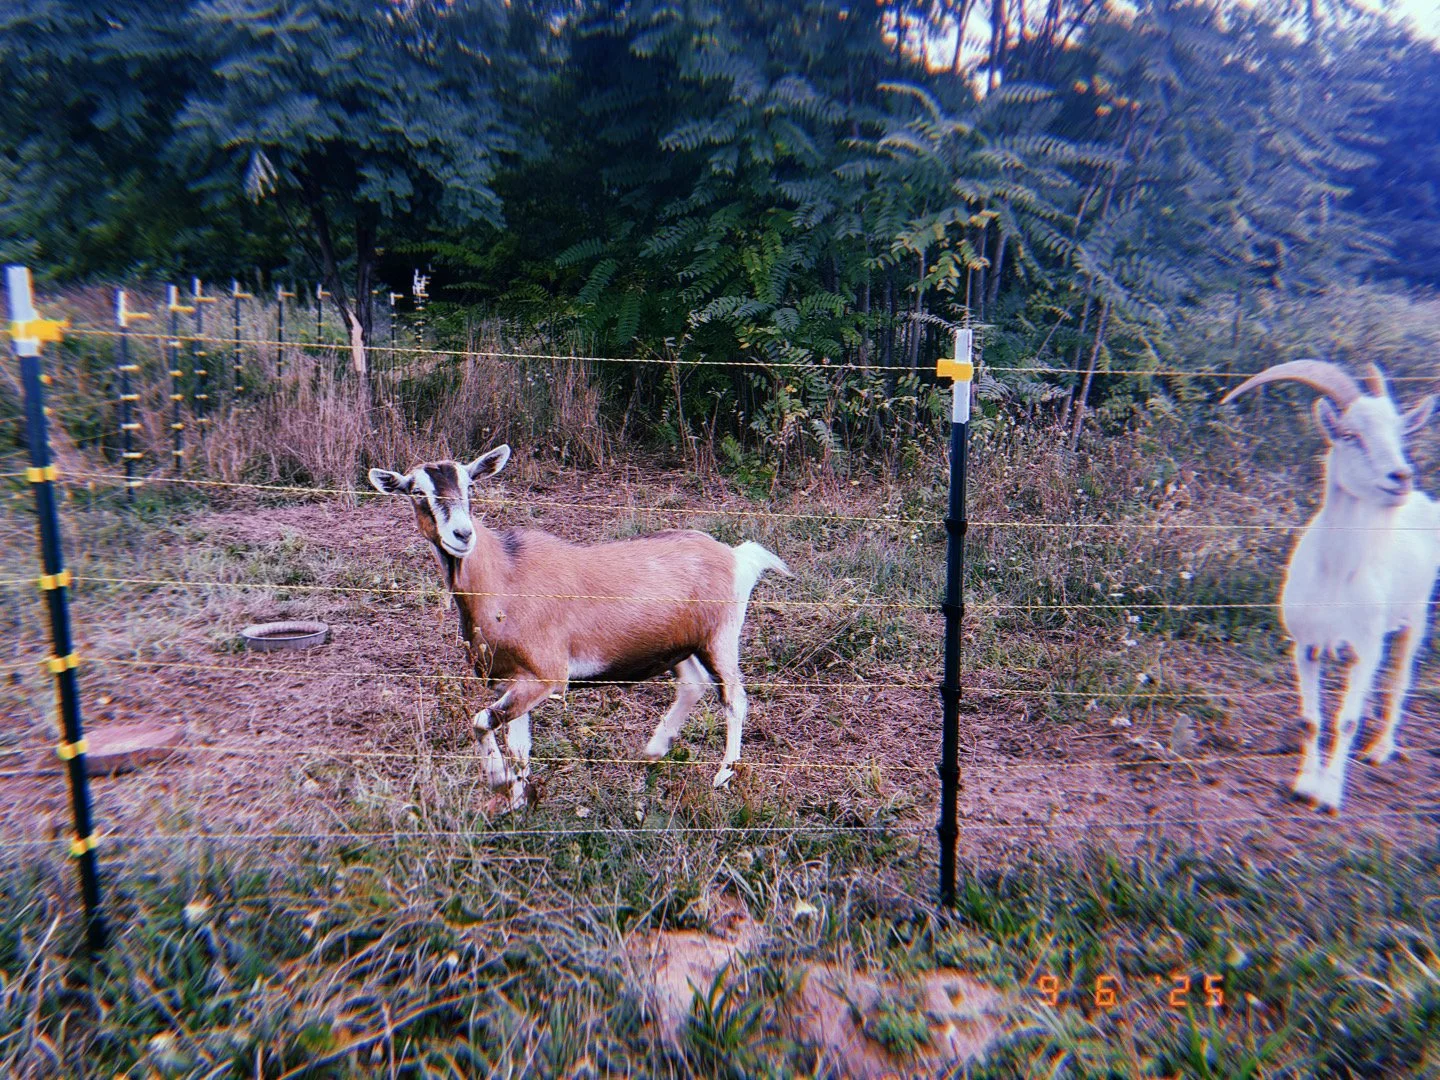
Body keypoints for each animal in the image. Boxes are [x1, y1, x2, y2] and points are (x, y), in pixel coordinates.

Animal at [369, 446, 790, 809]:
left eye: (470, 485)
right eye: (417, 492)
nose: (462, 534)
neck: (503, 574)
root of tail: (735, 556)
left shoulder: (546, 675)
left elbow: (481, 721)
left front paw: (497, 780)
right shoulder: (513, 679)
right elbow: (519, 747)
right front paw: (518, 803)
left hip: (719, 638)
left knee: (734, 699)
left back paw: (722, 776)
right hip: (678, 645)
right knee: (693, 684)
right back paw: (654, 750)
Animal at [1223, 360, 1438, 813]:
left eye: (1400, 434)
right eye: (1349, 434)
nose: (1401, 477)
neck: (1337, 576)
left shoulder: (1364, 646)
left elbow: (1347, 721)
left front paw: (1329, 795)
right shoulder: (1305, 645)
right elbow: (1311, 721)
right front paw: (1305, 785)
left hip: (1417, 613)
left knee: (1400, 677)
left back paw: (1380, 749)